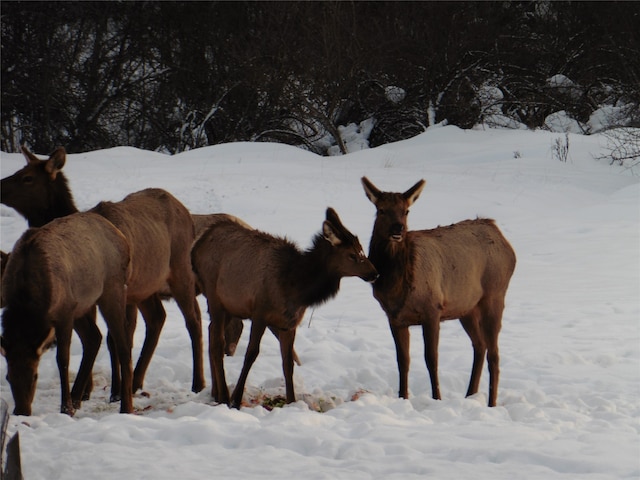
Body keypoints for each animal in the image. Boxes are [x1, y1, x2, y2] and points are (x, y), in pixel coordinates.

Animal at [0, 212, 132, 414]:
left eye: (35, 375)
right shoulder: (71, 308)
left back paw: (125, 405)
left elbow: (62, 360)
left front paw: (65, 407)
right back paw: (77, 397)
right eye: (8, 377)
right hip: (82, 305)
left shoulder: (65, 312)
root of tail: (122, 238)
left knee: (122, 344)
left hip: (113, 289)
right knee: (94, 337)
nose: (21, 410)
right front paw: (70, 404)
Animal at [360, 178, 516, 406]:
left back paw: (491, 403)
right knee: (480, 345)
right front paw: (403, 396)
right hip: (466, 307)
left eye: (406, 211)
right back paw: (470, 394)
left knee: (494, 353)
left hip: (494, 295)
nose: (398, 229)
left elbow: (431, 359)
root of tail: (506, 243)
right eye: (381, 210)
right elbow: (402, 360)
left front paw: (437, 398)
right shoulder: (395, 317)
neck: (397, 287)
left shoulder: (432, 310)